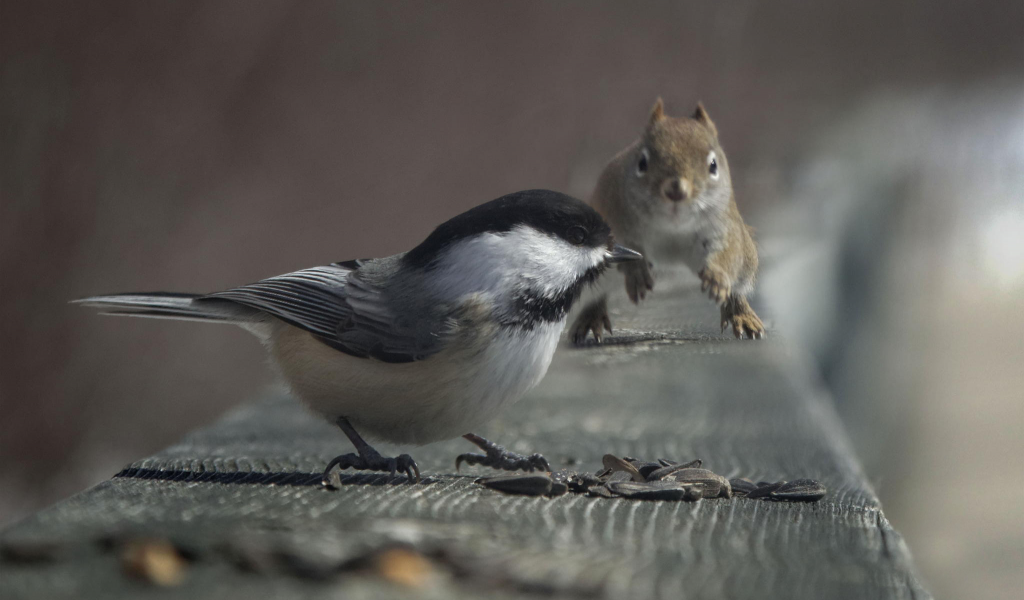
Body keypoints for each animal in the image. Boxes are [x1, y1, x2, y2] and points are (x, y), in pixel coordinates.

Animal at [573, 98, 765, 341]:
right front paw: (636, 272)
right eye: (642, 163)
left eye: (713, 165)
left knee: (737, 288)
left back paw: (740, 313)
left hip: (747, 260)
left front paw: (717, 277)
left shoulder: (724, 227)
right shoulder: (614, 216)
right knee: (596, 296)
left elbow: (727, 253)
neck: (673, 227)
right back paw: (591, 317)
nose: (676, 189)